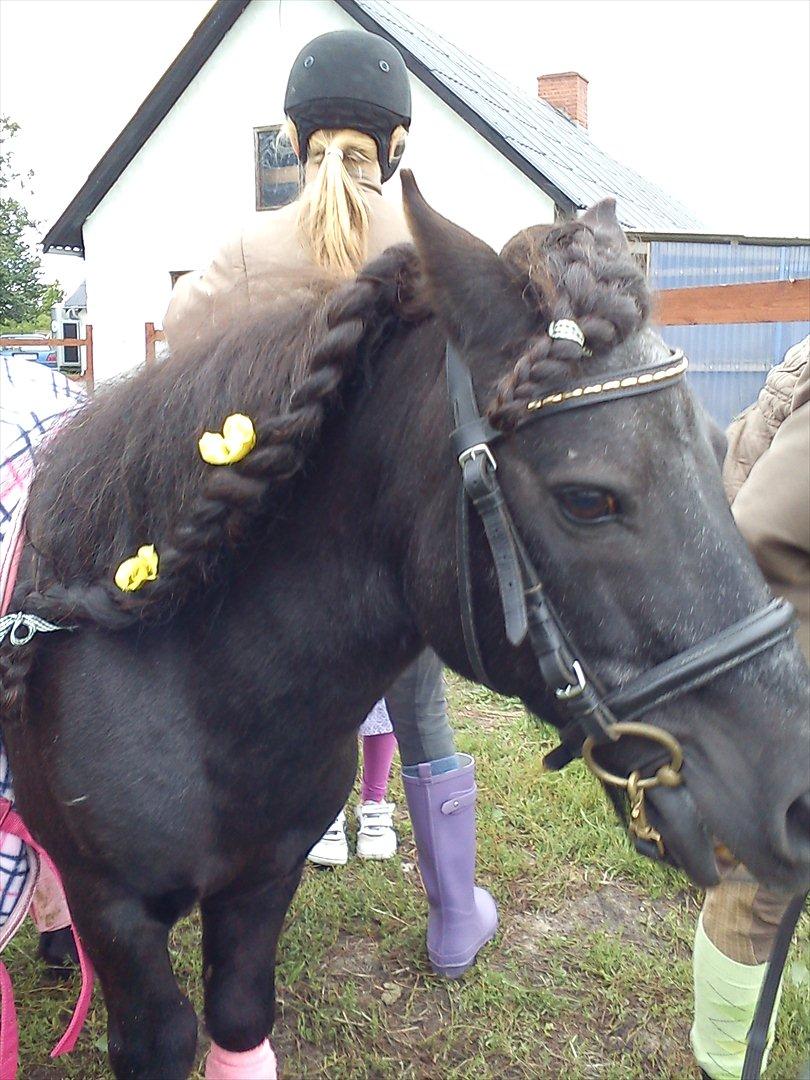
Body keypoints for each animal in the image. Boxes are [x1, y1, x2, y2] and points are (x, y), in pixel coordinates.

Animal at [1, 177, 810, 1080]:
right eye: (587, 499)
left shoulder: (260, 884)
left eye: (718, 445)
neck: (189, 691)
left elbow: (241, 1019)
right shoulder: (120, 918)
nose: (797, 798)